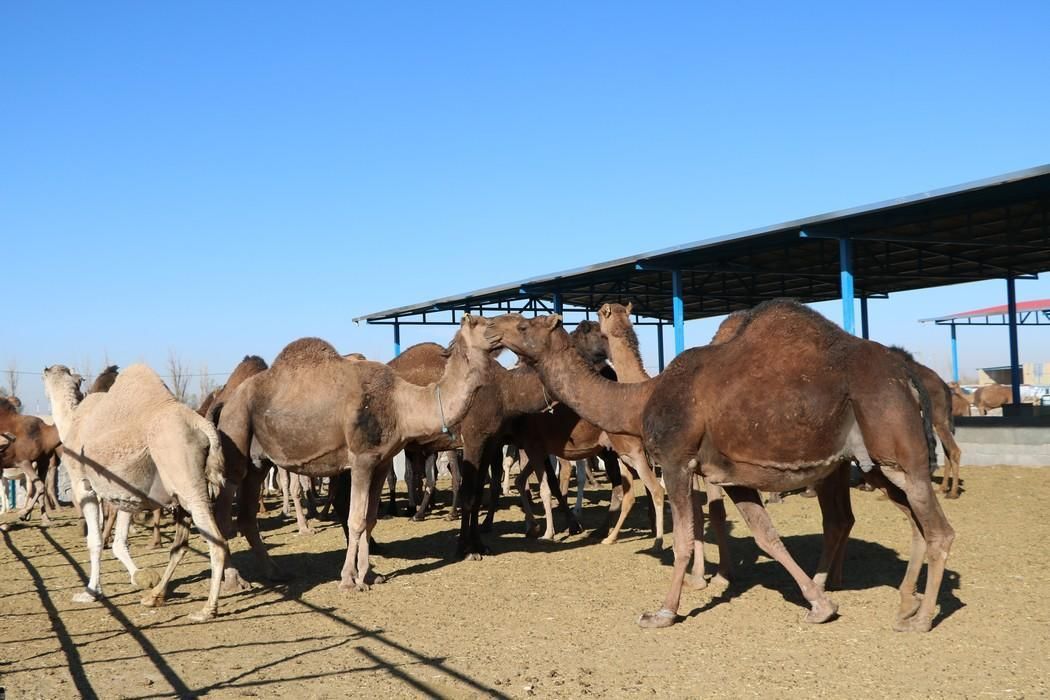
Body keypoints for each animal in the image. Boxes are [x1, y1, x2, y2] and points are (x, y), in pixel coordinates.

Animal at [43, 365, 229, 621]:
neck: (72, 422)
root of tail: (204, 426)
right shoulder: (127, 494)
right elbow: (119, 541)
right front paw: (138, 577)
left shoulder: (83, 484)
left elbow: (95, 541)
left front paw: (90, 592)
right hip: (199, 486)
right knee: (183, 544)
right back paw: (155, 596)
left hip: (187, 481)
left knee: (217, 541)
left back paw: (206, 610)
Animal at [215, 314, 497, 587]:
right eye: (480, 322)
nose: (499, 328)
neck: (402, 404)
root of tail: (226, 403)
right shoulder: (362, 459)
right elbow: (356, 519)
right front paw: (349, 579)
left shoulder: (381, 461)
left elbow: (370, 518)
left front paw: (368, 574)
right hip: (235, 434)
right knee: (223, 516)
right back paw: (235, 580)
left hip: (257, 463)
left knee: (246, 516)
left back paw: (274, 572)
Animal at [487, 302, 957, 633]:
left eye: (524, 325)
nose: (491, 328)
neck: (639, 399)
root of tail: (908, 375)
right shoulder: (732, 476)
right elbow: (767, 538)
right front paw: (820, 606)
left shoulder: (676, 461)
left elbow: (684, 538)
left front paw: (663, 612)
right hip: (873, 463)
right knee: (906, 523)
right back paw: (903, 603)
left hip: (897, 449)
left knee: (938, 530)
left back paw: (919, 619)